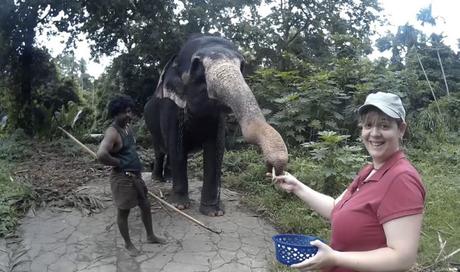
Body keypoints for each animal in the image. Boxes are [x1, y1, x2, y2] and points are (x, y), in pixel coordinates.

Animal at [144, 34, 288, 217]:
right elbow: (177, 148)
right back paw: (157, 179)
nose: (272, 168)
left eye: (242, 65)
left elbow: (216, 150)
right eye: (197, 65)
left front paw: (213, 212)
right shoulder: (170, 109)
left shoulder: (218, 119)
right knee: (161, 150)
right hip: (151, 127)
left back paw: (168, 178)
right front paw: (180, 206)